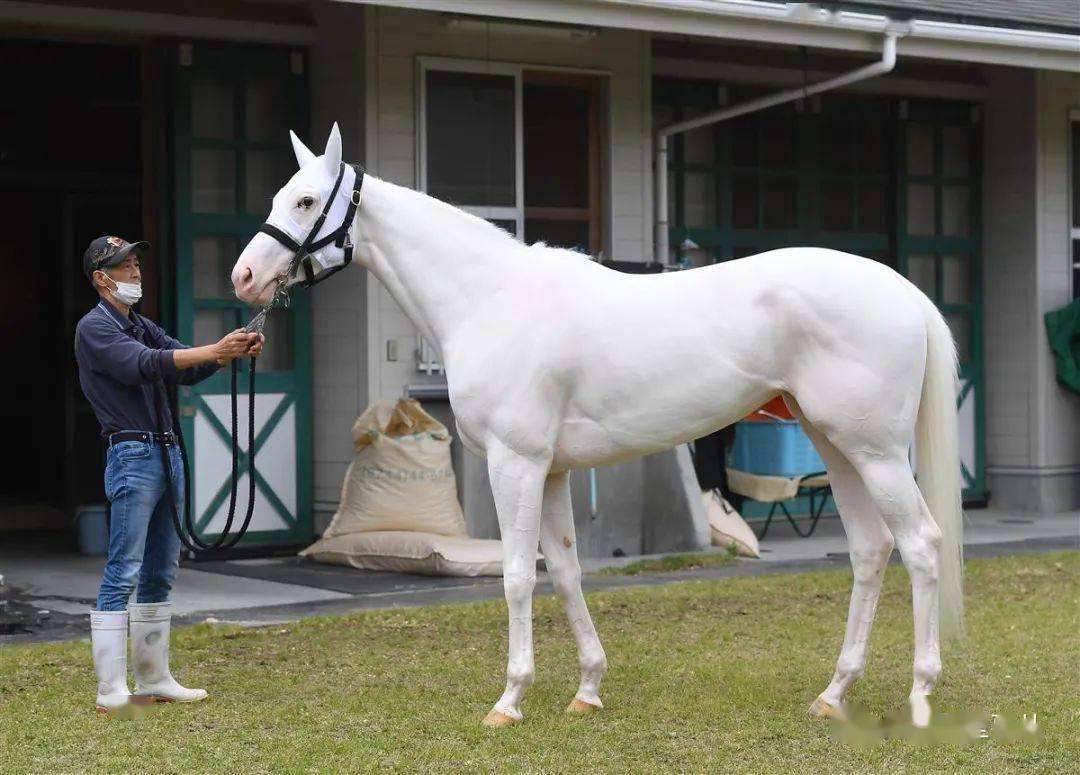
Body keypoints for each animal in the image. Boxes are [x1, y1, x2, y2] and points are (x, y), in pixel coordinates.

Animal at [234, 124, 963, 729]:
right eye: (279, 196)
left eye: (305, 202)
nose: (244, 277)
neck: (490, 297)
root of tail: (903, 290)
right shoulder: (553, 469)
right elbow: (564, 570)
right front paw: (587, 688)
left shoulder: (516, 462)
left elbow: (517, 575)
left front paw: (509, 700)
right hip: (837, 445)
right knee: (871, 549)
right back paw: (834, 694)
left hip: (875, 453)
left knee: (922, 545)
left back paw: (922, 693)